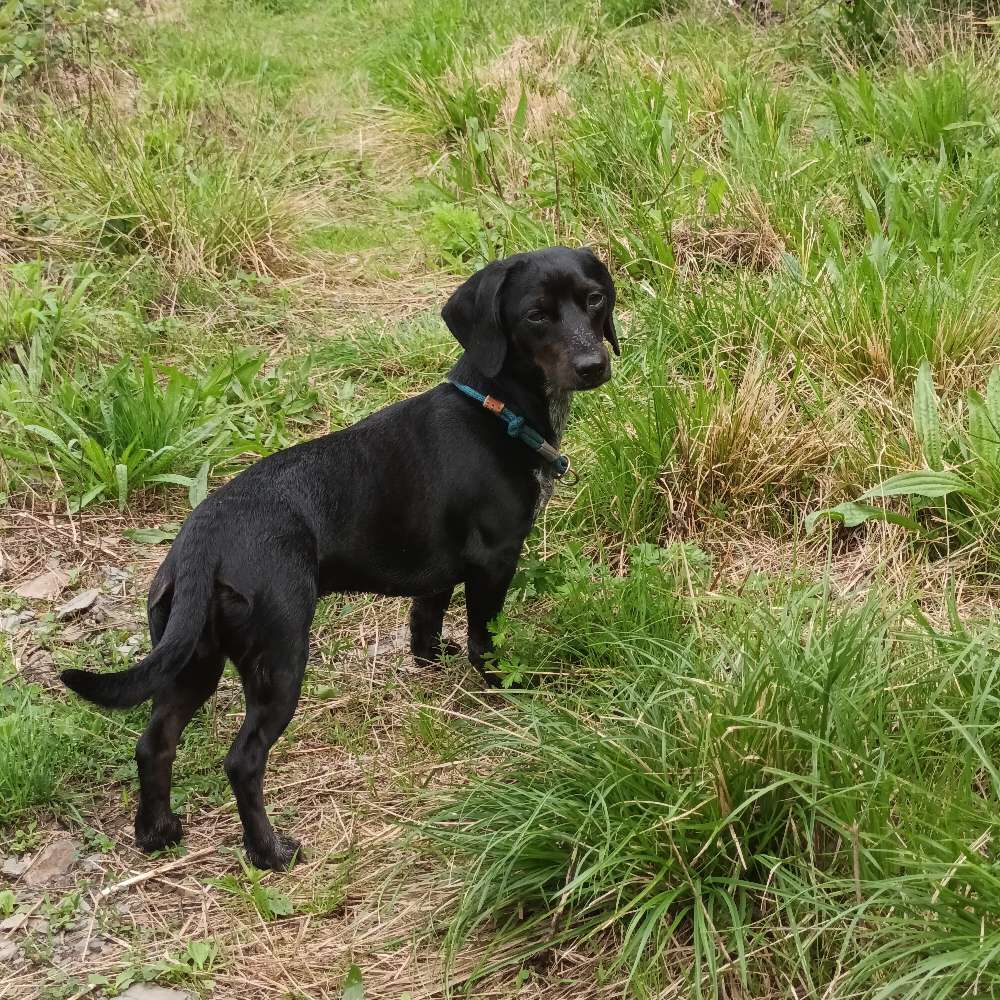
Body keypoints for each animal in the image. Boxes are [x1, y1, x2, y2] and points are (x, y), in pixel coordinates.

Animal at [62, 246, 616, 872]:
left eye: (595, 299)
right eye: (535, 315)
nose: (594, 364)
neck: (497, 410)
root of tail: (204, 536)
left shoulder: (439, 570)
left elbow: (425, 621)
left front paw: (431, 661)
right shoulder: (495, 561)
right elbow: (485, 640)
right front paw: (508, 691)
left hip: (191, 657)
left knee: (154, 742)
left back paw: (157, 832)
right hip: (278, 658)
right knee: (242, 760)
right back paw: (269, 851)